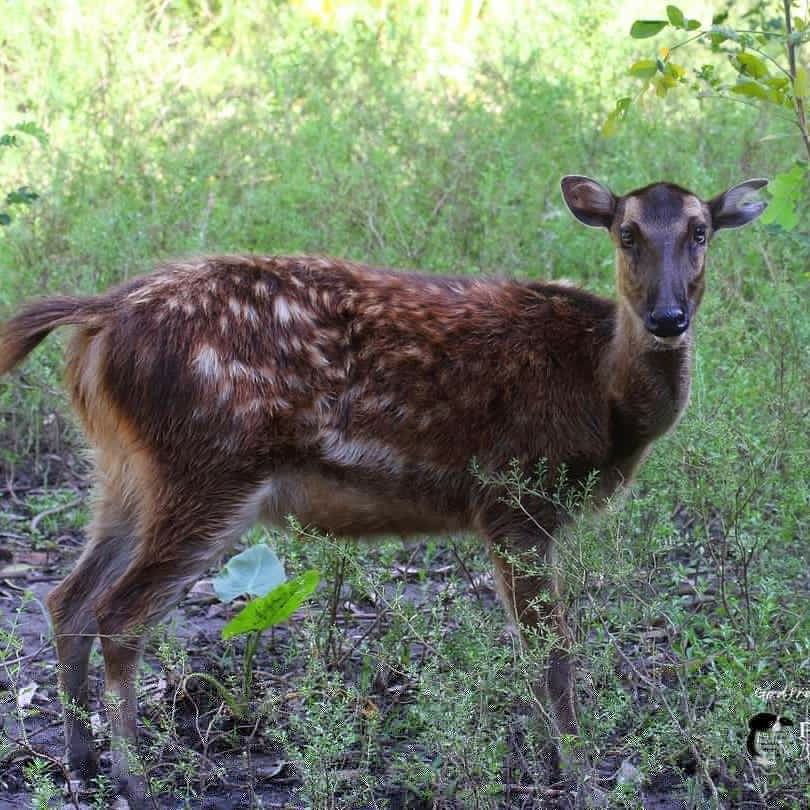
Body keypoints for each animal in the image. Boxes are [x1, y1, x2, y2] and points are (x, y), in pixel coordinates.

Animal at [0, 176, 766, 807]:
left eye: (701, 230)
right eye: (626, 231)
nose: (668, 317)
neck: (604, 397)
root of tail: (101, 315)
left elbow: (534, 654)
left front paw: (555, 766)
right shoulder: (514, 502)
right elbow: (551, 656)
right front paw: (579, 777)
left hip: (125, 470)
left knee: (67, 598)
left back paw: (81, 765)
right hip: (208, 466)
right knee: (118, 612)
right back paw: (133, 781)